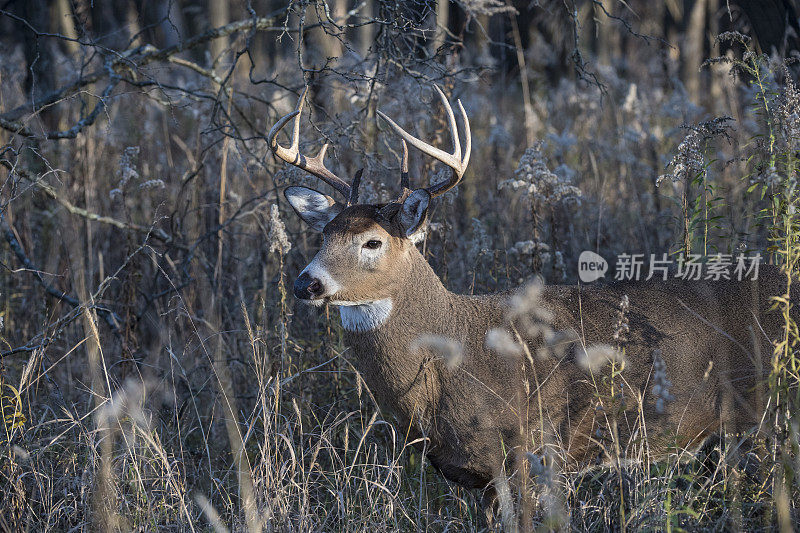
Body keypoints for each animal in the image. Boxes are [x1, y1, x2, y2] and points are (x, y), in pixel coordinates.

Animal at [270, 86, 800, 508]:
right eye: (323, 235)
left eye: (372, 242)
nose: (306, 283)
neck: (457, 353)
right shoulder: (476, 478)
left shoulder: (534, 450)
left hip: (771, 409)